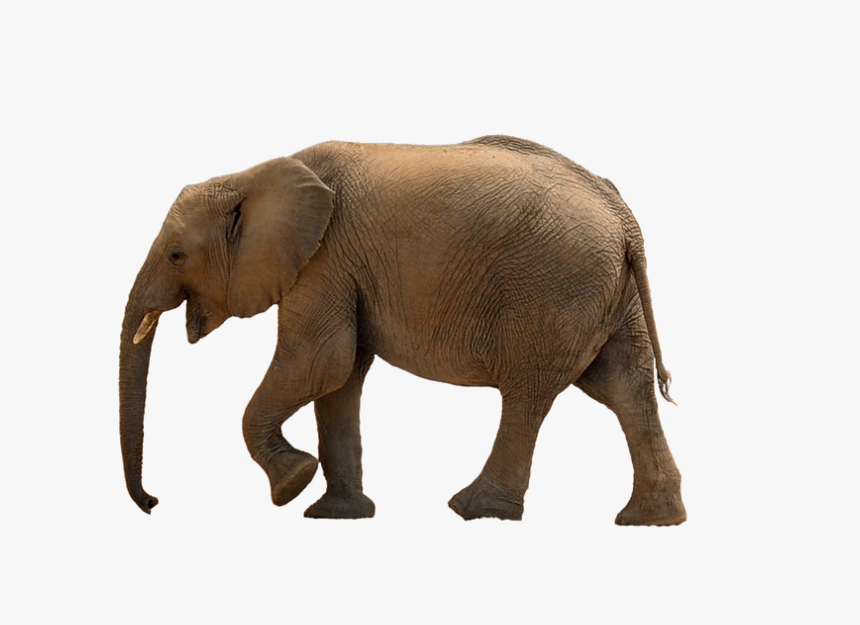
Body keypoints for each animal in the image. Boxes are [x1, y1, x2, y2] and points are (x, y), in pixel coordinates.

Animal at [119, 135, 686, 525]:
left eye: (176, 255)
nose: (153, 503)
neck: (251, 175)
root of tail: (624, 218)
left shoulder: (324, 260)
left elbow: (319, 362)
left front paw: (292, 485)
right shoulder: (341, 268)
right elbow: (341, 376)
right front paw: (336, 515)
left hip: (555, 287)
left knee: (529, 392)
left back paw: (476, 510)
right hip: (611, 294)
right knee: (625, 388)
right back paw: (649, 521)